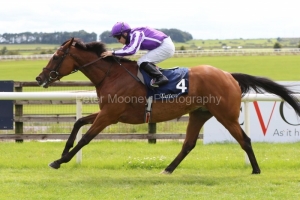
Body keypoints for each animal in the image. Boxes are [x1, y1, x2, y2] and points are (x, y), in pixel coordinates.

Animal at [35, 37, 300, 173]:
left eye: (56, 56)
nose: (39, 77)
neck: (111, 74)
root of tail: (229, 76)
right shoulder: (109, 112)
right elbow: (78, 122)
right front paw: (63, 152)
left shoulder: (110, 115)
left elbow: (86, 138)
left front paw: (59, 161)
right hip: (199, 114)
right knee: (188, 144)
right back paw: (168, 169)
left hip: (226, 115)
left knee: (244, 139)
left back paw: (255, 170)